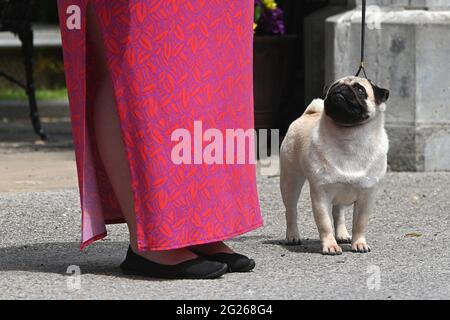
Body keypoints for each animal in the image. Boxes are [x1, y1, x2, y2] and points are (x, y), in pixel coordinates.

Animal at [280, 75, 388, 255]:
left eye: (360, 90)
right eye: (334, 86)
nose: (341, 88)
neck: (349, 137)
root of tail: (309, 113)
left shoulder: (367, 196)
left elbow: (360, 224)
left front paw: (359, 243)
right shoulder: (321, 194)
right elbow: (324, 223)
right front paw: (330, 245)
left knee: (338, 212)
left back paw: (342, 234)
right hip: (290, 181)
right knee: (291, 210)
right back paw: (292, 236)